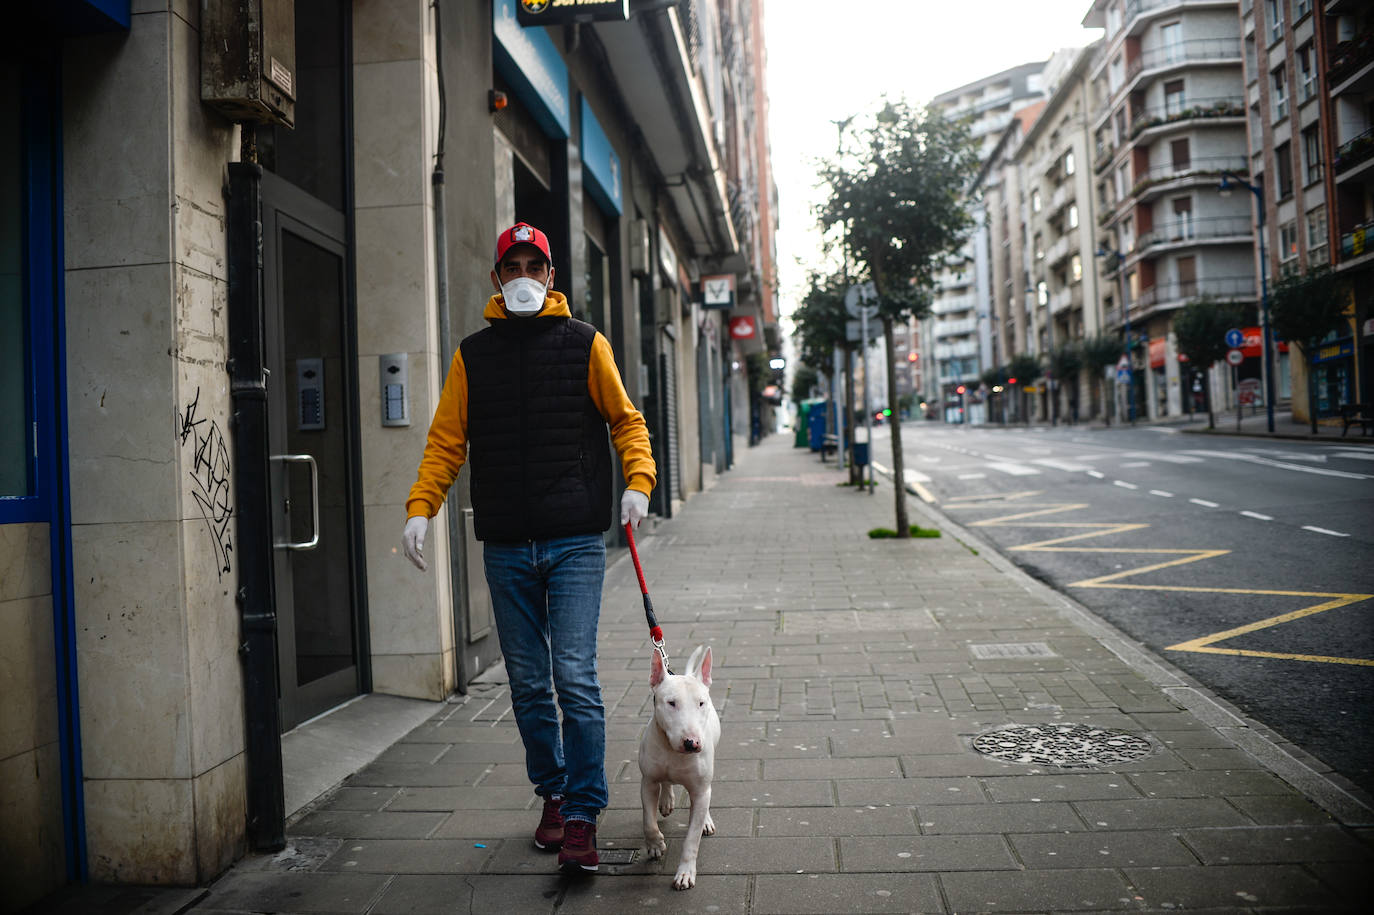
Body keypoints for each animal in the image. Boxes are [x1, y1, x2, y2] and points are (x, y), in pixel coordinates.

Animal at [634, 640, 719, 884]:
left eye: (701, 703)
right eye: (671, 703)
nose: (692, 743)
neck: (674, 751)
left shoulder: (700, 789)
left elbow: (692, 838)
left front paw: (685, 873)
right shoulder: (648, 781)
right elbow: (648, 820)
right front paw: (655, 845)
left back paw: (705, 820)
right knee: (667, 782)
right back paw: (666, 801)